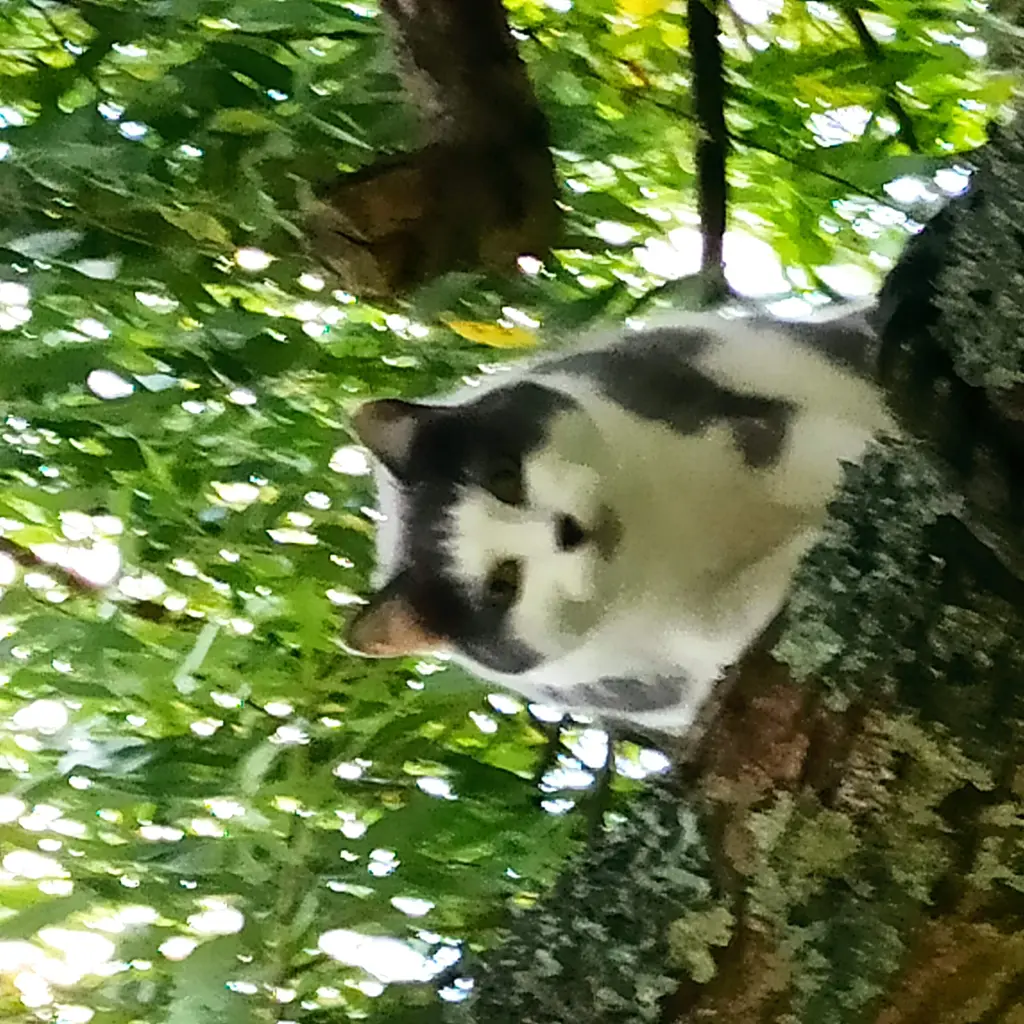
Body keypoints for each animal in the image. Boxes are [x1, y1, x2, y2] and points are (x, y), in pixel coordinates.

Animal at [344, 303, 895, 735]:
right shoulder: (656, 670)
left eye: (504, 479)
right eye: (503, 585)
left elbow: (825, 453)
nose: (566, 530)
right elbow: (727, 628)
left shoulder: (723, 416)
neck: (668, 531)